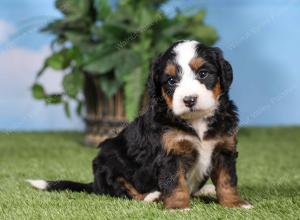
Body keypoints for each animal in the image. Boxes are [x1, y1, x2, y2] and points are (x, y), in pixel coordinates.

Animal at [27, 40, 253, 210]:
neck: (196, 121)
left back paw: (205, 190)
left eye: (203, 74)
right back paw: (153, 196)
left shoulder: (224, 148)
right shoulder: (170, 153)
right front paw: (178, 206)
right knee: (126, 192)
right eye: (171, 81)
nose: (189, 99)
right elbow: (175, 182)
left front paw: (235, 203)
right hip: (109, 162)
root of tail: (95, 183)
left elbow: (226, 180)